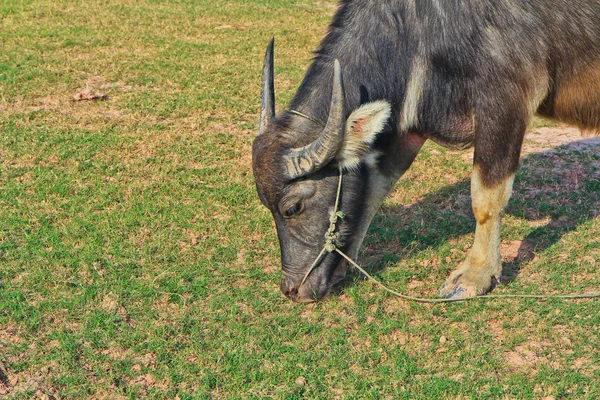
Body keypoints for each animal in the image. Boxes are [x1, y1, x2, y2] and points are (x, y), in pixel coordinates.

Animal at [253, 0, 600, 300]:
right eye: (267, 206)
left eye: (292, 208)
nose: (292, 290)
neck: (419, 24)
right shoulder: (411, 118)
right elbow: (373, 191)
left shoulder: (505, 101)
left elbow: (485, 199)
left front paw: (475, 276)